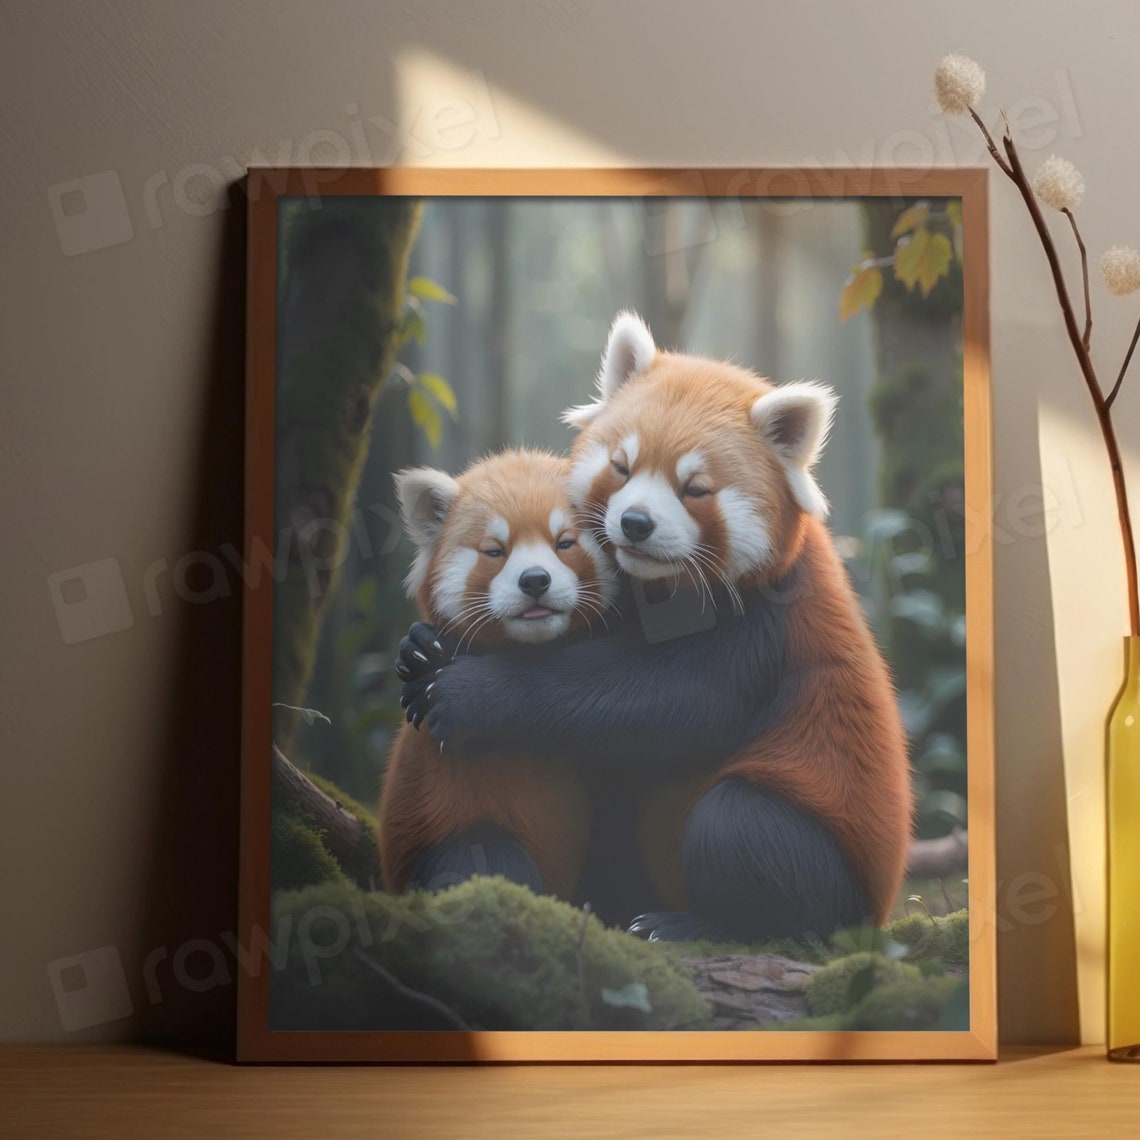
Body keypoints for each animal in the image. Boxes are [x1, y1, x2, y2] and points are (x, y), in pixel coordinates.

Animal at [399, 314, 913, 943]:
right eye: (621, 467)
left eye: (694, 488)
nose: (635, 523)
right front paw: (424, 649)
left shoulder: (767, 622)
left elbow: (679, 700)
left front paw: (464, 690)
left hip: (835, 873)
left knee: (735, 823)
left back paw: (696, 925)